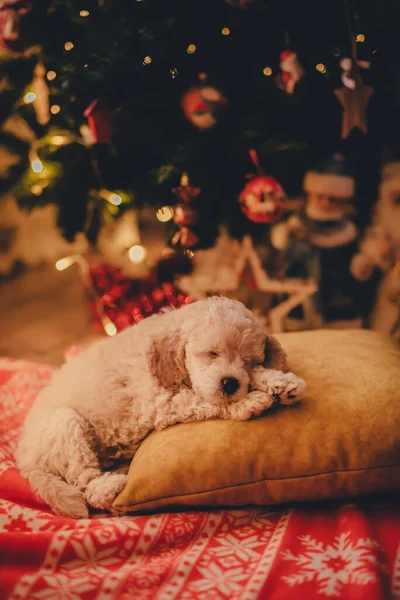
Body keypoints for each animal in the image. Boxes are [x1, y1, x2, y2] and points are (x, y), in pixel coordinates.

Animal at [17, 298, 306, 516]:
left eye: (248, 359)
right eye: (212, 353)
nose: (230, 383)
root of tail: (25, 460)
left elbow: (256, 375)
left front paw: (282, 382)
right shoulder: (159, 401)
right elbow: (204, 401)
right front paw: (248, 403)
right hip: (65, 424)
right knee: (86, 484)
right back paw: (111, 484)